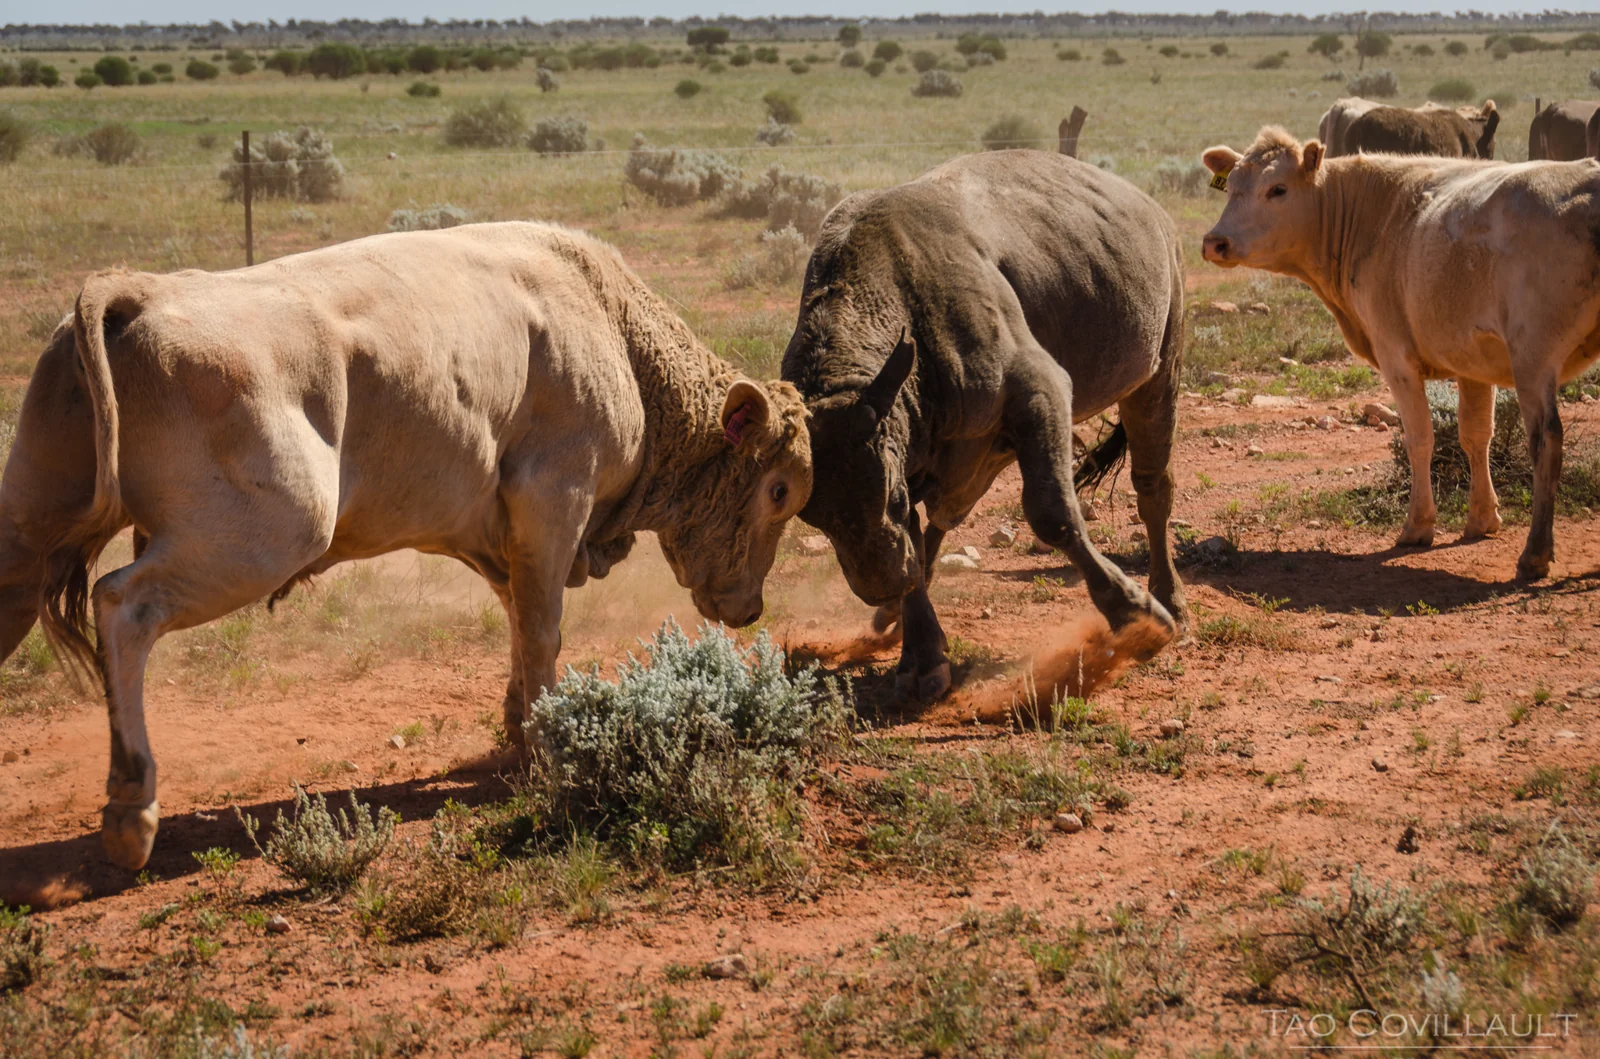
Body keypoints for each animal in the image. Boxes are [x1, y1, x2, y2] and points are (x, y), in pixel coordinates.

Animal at [0, 222, 813, 870]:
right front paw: (551, 746)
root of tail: (137, 292)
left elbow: (518, 619)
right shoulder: (554, 500)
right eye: (778, 490)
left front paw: (516, 725)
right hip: (266, 536)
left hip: (26, 539)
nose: (749, 608)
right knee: (122, 606)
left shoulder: (502, 534)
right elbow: (542, 629)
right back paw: (130, 810)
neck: (612, 327)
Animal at [780, 150, 1186, 703]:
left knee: (1152, 488)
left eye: (892, 498)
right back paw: (890, 615)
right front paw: (921, 657)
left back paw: (1170, 596)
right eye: (812, 518)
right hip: (984, 457)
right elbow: (917, 541)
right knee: (941, 524)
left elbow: (1053, 514)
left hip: (1157, 376)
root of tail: (1156, 215)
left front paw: (1138, 616)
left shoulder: (1039, 393)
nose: (882, 583)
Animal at [1200, 127, 1600, 583]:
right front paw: (1482, 518)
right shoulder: (1472, 360)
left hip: (1533, 358)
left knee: (1546, 441)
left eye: (1278, 189)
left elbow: (1420, 438)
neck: (1374, 217)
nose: (1215, 242)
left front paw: (1418, 525)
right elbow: (1475, 434)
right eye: (1231, 185)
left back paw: (1534, 554)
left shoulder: (1397, 358)